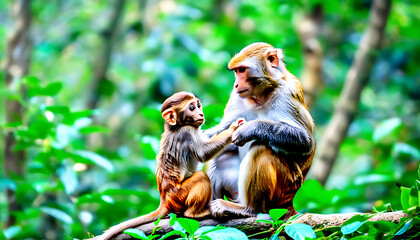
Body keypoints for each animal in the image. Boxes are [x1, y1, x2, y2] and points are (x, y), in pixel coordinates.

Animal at [95, 91, 244, 239]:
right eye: (191, 108)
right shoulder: (187, 132)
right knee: (200, 177)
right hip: (179, 195)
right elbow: (204, 154)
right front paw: (233, 128)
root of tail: (164, 200)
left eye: (198, 105)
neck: (176, 126)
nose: (201, 114)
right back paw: (196, 213)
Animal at [205, 42, 316, 218]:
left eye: (242, 69)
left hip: (284, 189)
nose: (236, 84)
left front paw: (249, 129)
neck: (262, 96)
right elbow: (220, 131)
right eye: (236, 71)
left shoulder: (288, 93)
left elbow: (305, 141)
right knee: (220, 155)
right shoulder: (235, 97)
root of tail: (289, 203)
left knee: (261, 147)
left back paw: (248, 209)